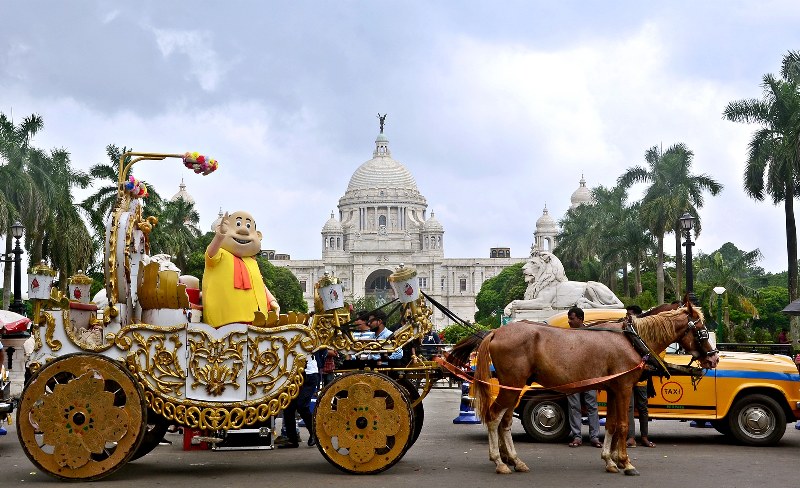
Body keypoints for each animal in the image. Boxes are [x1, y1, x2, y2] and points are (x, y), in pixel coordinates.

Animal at [450, 304, 720, 474]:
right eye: (702, 331)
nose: (714, 359)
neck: (632, 340)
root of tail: (495, 332)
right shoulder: (624, 387)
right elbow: (623, 425)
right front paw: (626, 463)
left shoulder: (613, 388)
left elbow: (611, 424)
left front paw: (610, 461)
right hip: (512, 387)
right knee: (494, 418)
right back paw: (500, 462)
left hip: (514, 388)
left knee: (504, 421)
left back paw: (515, 460)